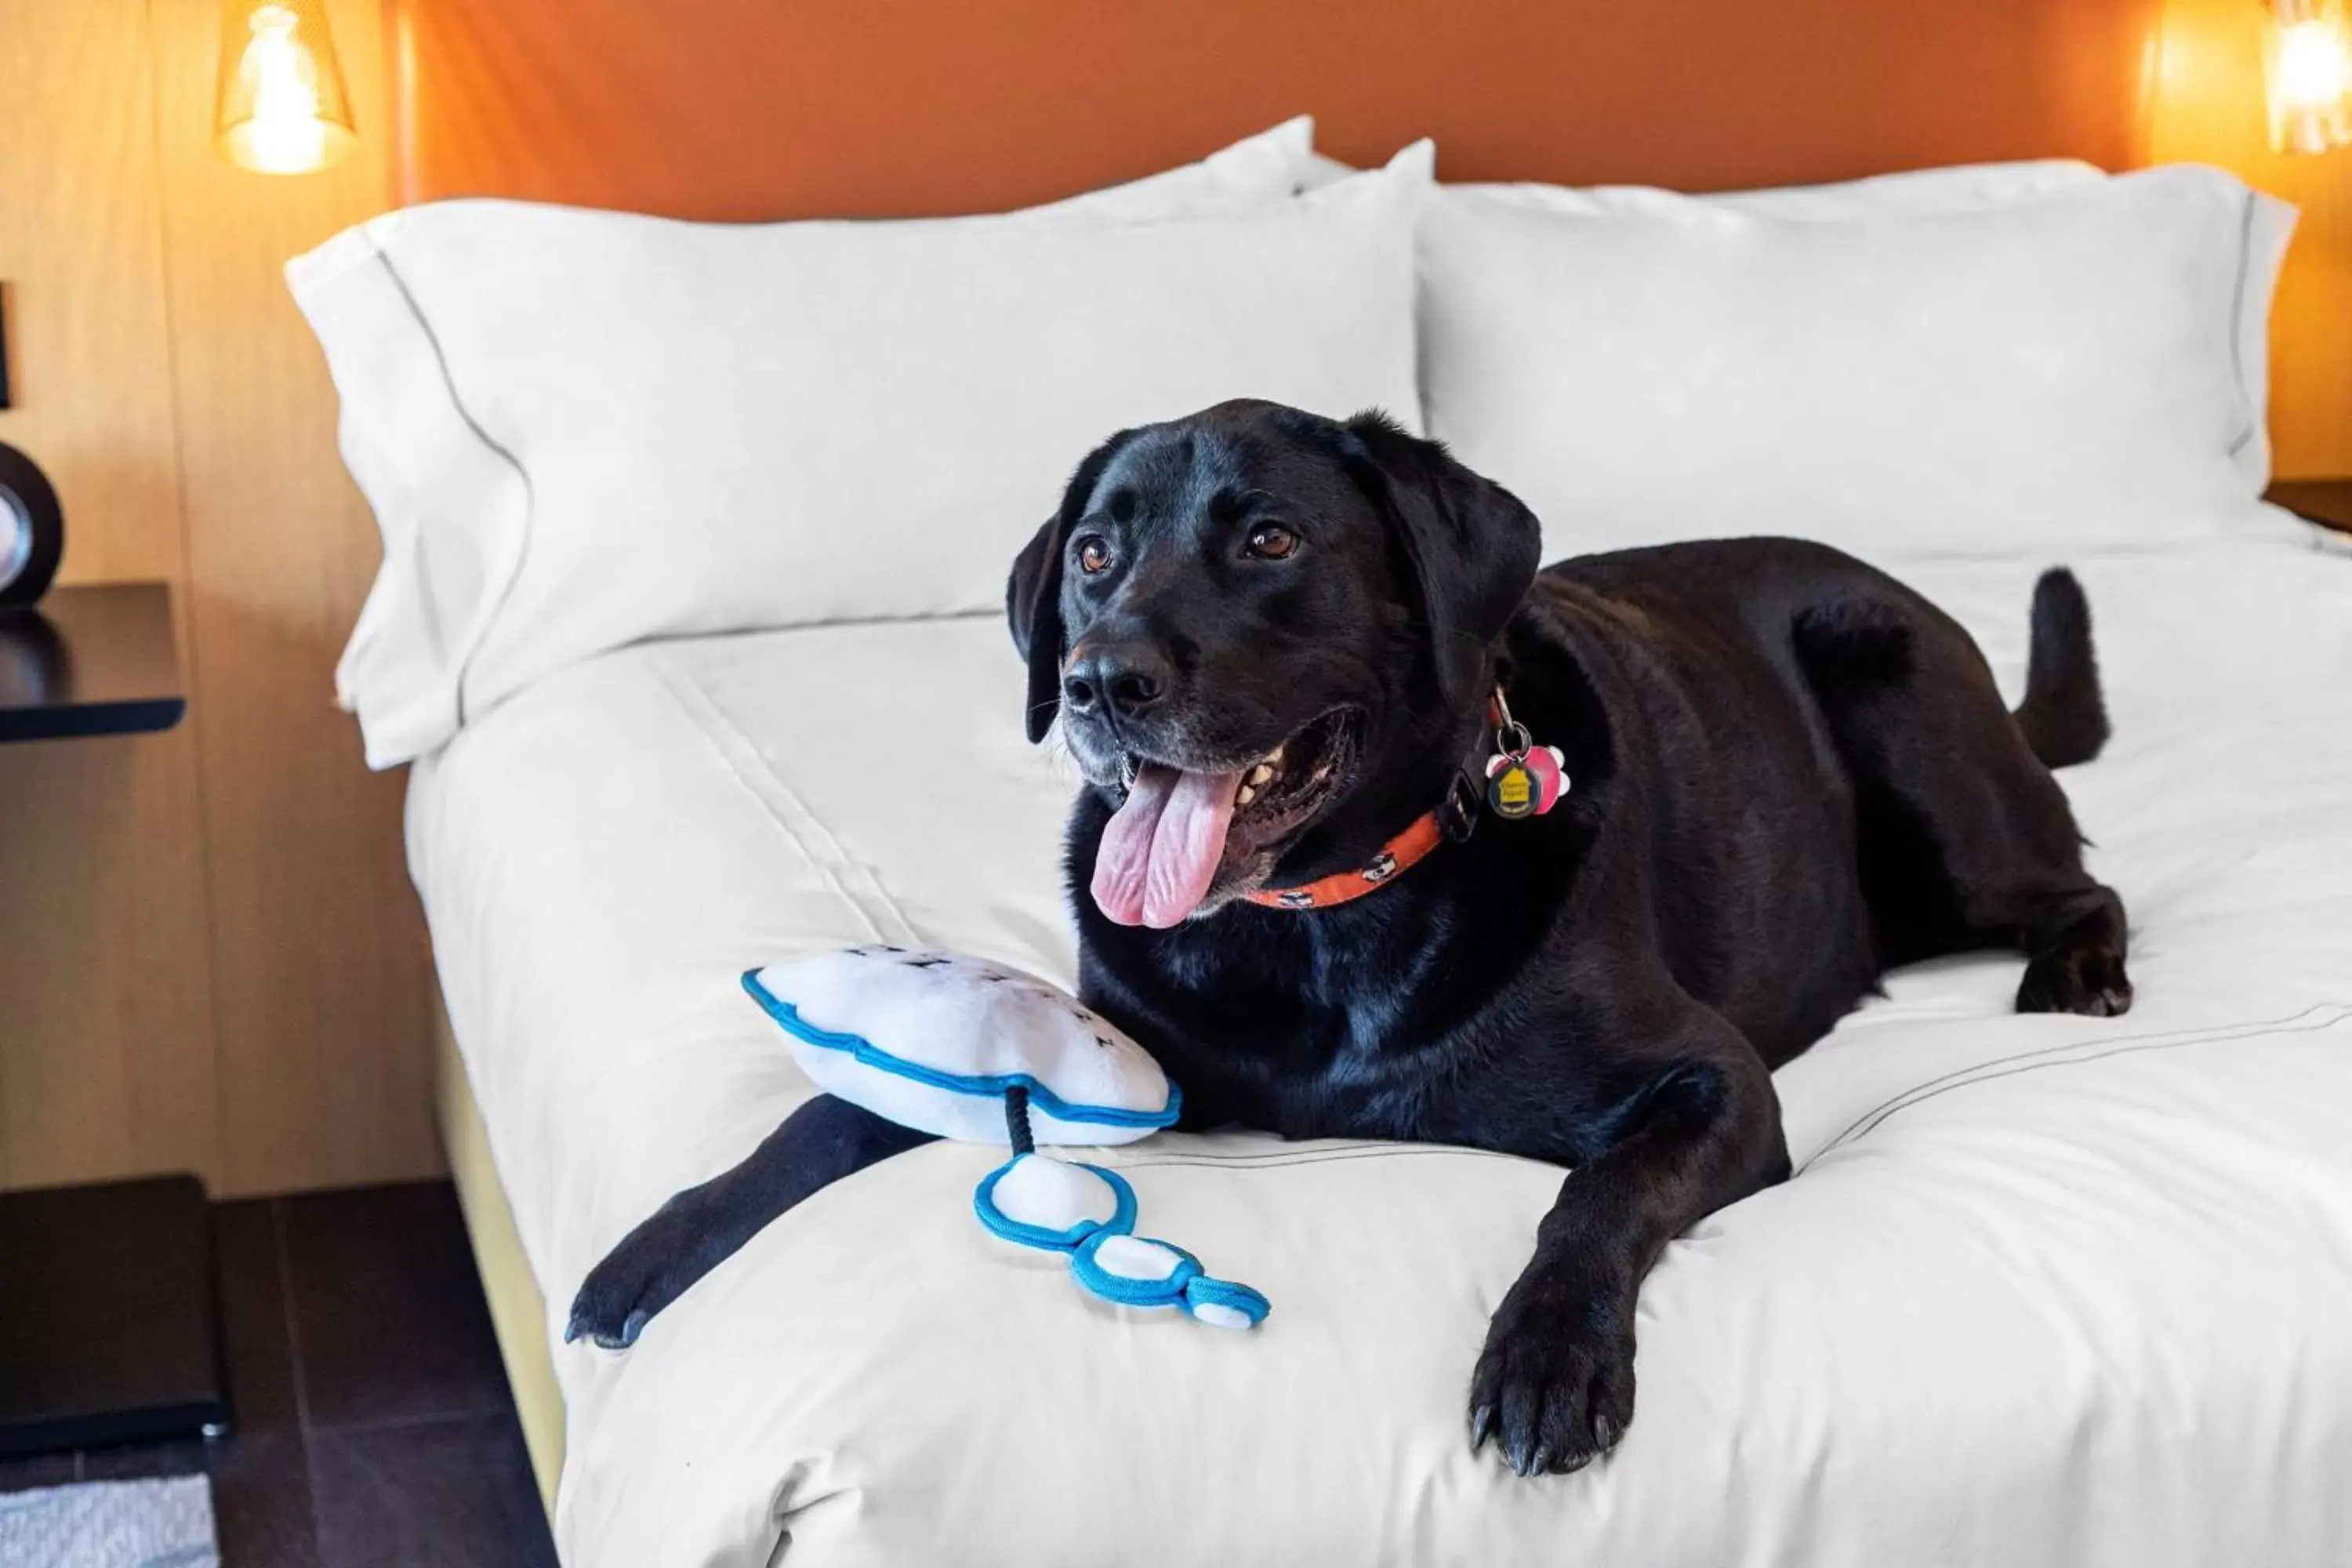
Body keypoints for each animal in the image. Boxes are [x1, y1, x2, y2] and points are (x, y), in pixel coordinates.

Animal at [574, 399, 2136, 1476]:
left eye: (1270, 540)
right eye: (1093, 555)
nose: (1096, 682)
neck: (1318, 923)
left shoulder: (1719, 1083)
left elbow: (1601, 1191)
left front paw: (1548, 1358)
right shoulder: (1113, 1035)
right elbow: (839, 1114)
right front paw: (660, 1246)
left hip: (1912, 729)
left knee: (2080, 879)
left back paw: (2074, 975)